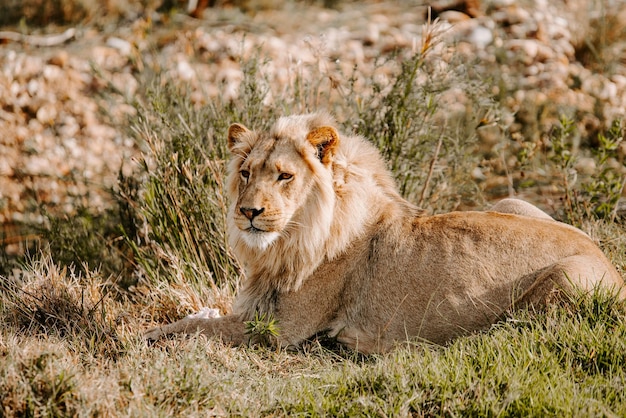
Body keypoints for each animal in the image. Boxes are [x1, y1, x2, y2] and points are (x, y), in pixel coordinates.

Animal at [143, 112, 624, 352]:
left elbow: (200, 328)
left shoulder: (279, 330)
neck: (286, 244)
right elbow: (203, 316)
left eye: (284, 176)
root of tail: (607, 259)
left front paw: (146, 335)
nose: (248, 212)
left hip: (565, 279)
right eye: (245, 173)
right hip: (509, 203)